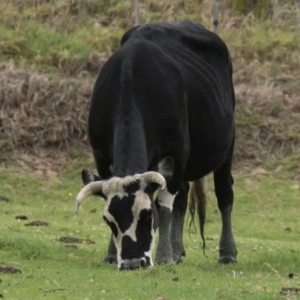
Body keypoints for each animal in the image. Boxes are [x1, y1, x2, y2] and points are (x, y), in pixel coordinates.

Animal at [75, 21, 237, 270]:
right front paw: (111, 253)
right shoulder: (100, 155)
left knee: (224, 194)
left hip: (226, 145)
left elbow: (165, 205)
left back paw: (227, 253)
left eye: (148, 215)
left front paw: (163, 256)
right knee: (183, 198)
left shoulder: (178, 152)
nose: (132, 263)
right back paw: (178, 250)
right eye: (108, 221)